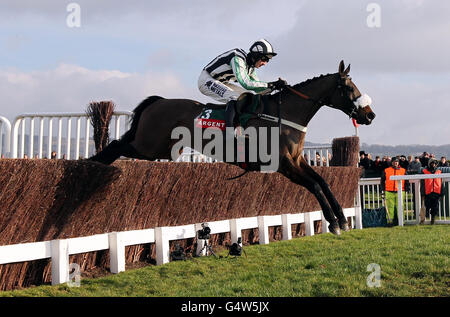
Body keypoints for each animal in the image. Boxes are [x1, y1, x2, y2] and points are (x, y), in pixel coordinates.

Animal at [90, 61, 376, 235]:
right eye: (349, 87)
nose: (370, 115)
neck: (285, 114)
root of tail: (158, 101)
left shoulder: (296, 161)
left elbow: (323, 182)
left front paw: (341, 218)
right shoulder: (283, 165)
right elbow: (315, 185)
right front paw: (334, 222)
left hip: (158, 148)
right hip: (149, 147)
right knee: (116, 145)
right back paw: (93, 164)